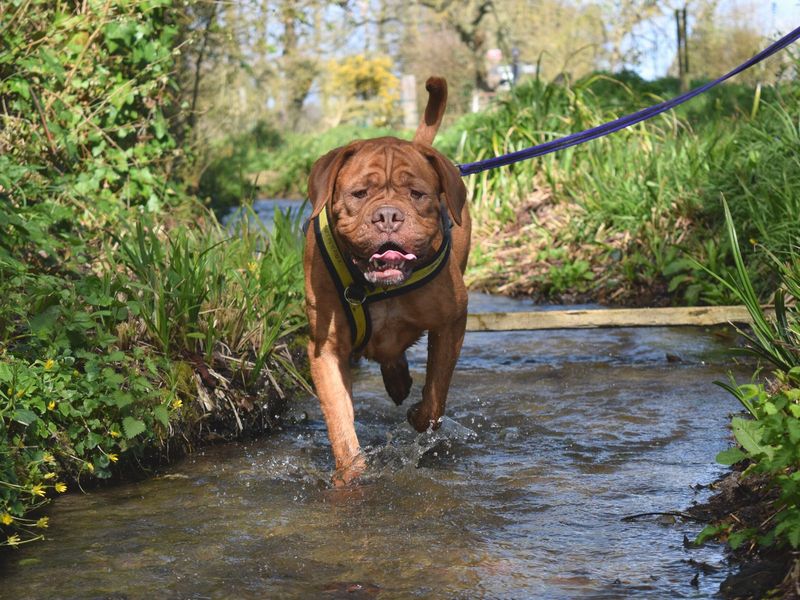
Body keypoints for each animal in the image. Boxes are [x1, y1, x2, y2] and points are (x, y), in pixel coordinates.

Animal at [304, 78, 468, 482]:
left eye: (417, 194)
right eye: (360, 193)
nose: (389, 215)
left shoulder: (452, 320)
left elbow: (436, 394)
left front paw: (419, 414)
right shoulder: (325, 347)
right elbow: (339, 419)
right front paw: (351, 474)